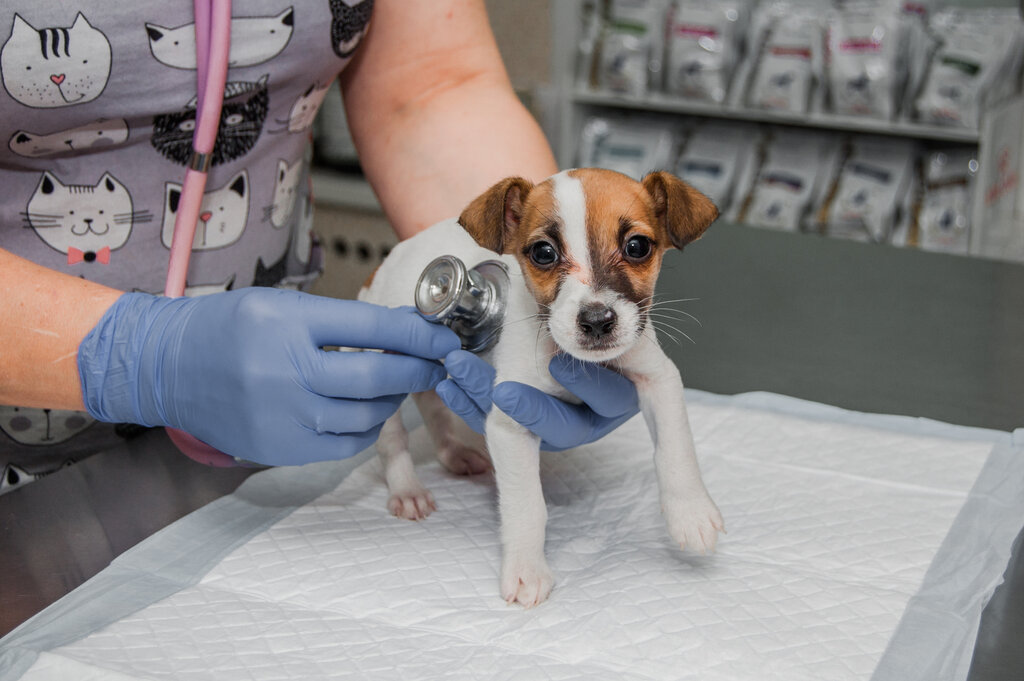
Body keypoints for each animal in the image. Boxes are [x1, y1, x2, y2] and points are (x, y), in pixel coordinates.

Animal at [360, 168, 720, 606]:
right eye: (544, 253)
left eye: (637, 246)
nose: (596, 320)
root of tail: (388, 261)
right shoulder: (512, 420)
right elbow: (527, 505)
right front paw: (526, 569)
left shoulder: (657, 377)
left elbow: (676, 448)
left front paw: (691, 512)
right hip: (382, 372)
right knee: (392, 439)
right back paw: (407, 489)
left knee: (433, 407)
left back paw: (454, 453)